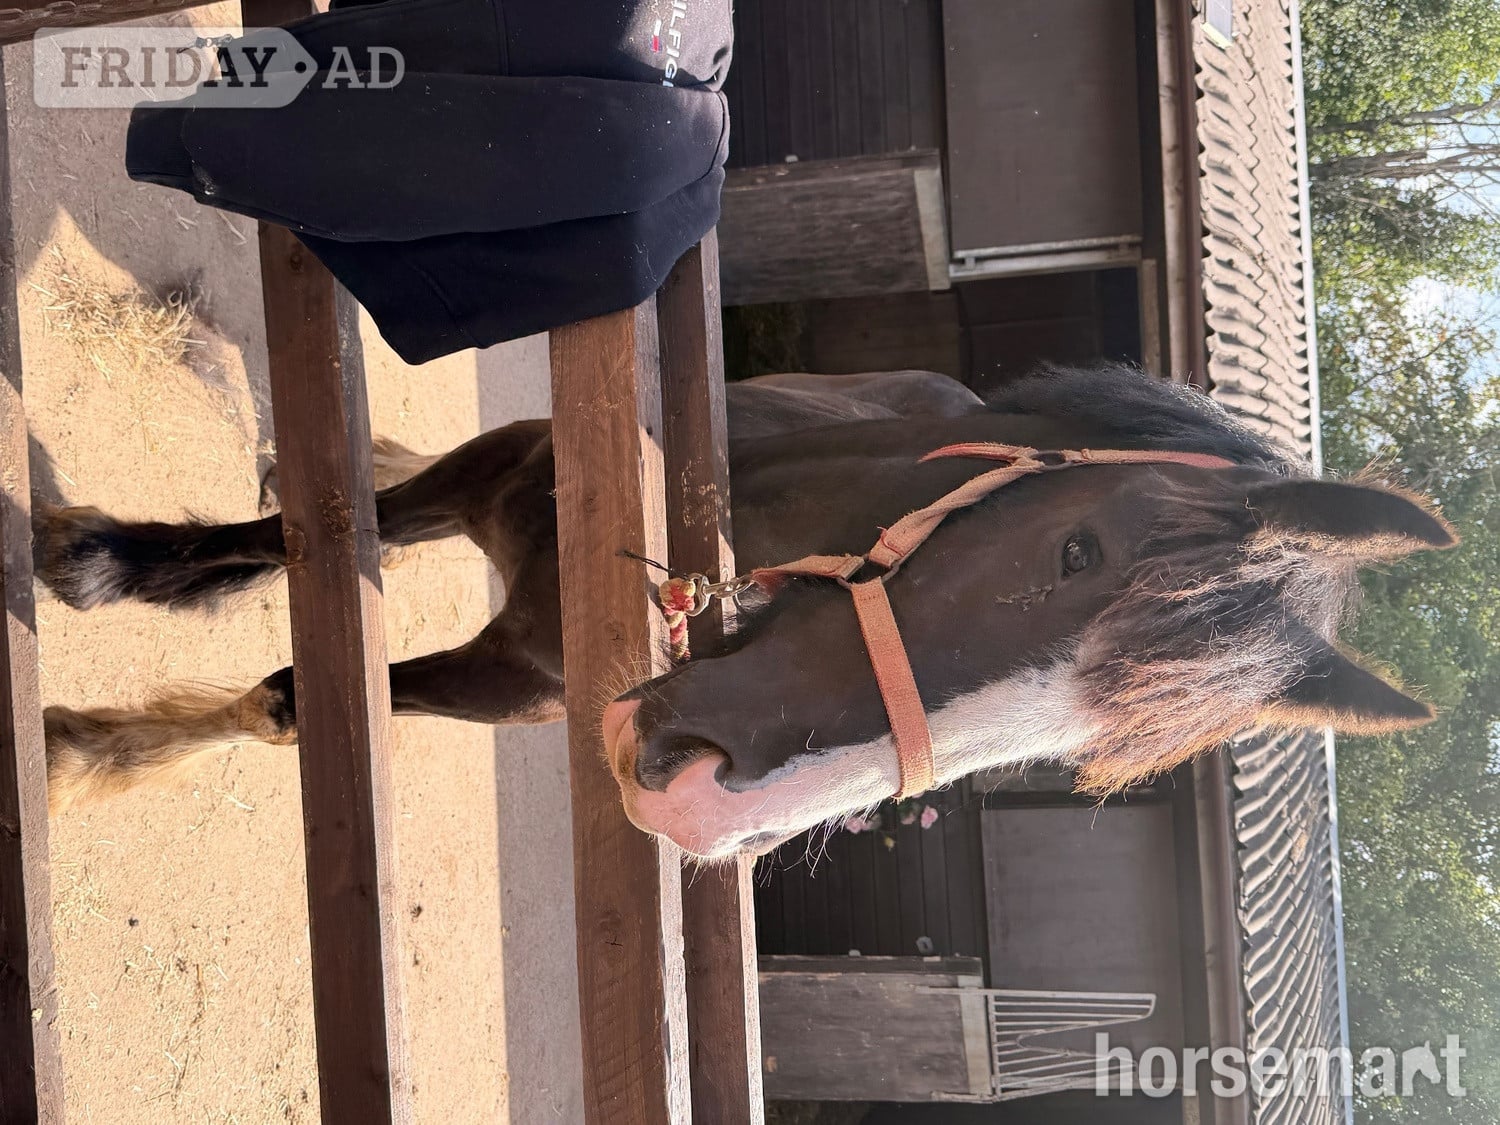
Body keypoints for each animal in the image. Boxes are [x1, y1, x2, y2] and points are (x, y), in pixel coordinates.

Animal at [37, 364, 1455, 858]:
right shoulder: (491, 473)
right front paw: (113, 567)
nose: (707, 807)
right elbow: (310, 545)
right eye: (1074, 549)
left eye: (1065, 748)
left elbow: (291, 699)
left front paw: (92, 748)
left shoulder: (509, 681)